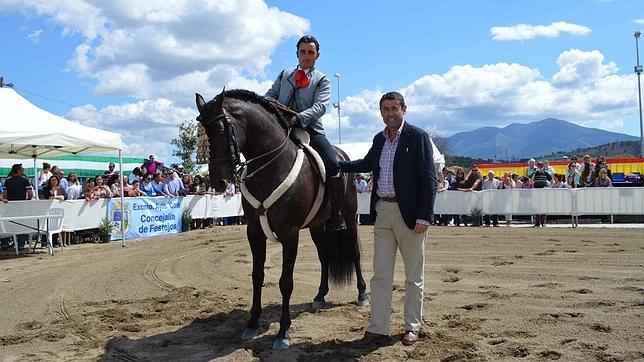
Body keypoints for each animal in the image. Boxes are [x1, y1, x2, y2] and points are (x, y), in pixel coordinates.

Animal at [195, 89, 368, 350]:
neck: (272, 166)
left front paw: (283, 332)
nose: (219, 182)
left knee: (354, 253)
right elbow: (257, 276)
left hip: (347, 218)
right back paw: (320, 295)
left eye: (222, 131)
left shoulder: (290, 233)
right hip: (317, 225)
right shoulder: (254, 231)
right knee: (325, 255)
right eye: (204, 133)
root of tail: (342, 156)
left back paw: (362, 294)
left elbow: (286, 282)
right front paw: (252, 324)